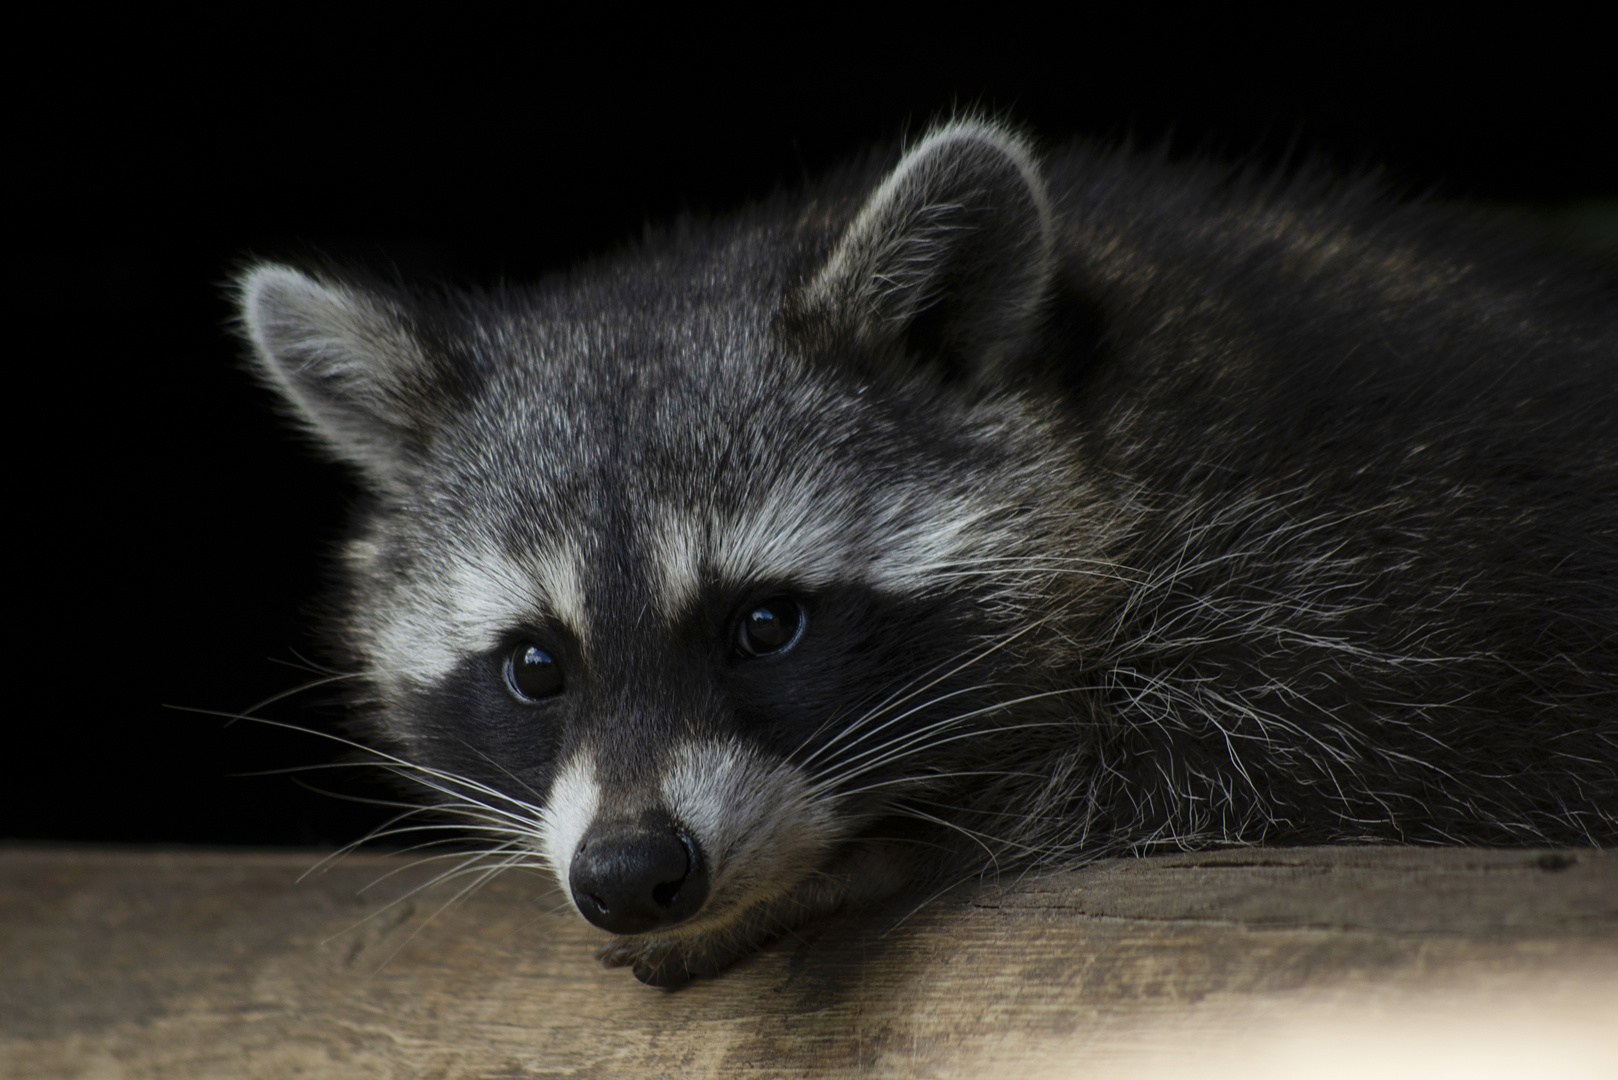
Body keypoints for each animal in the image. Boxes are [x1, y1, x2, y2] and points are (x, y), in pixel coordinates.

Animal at [236, 120, 1618, 990]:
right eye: (534, 667)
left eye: (764, 625)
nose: (629, 873)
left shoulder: (1373, 562)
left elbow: (1297, 768)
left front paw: (898, 847)